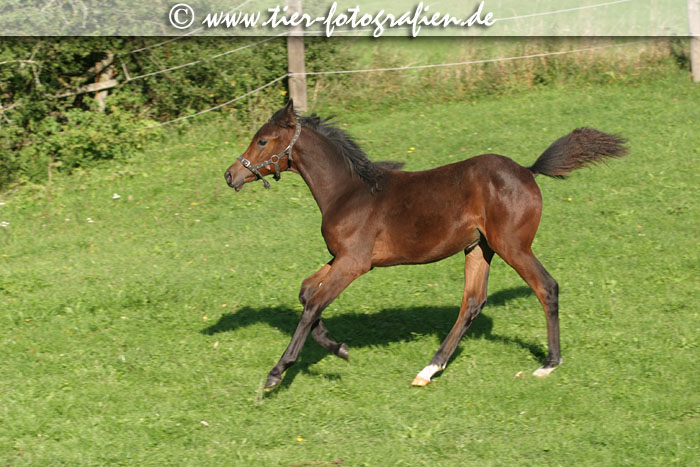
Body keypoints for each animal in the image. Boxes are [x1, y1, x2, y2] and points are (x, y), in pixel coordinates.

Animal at [226, 100, 628, 390]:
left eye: (262, 141)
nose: (231, 174)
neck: (349, 192)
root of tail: (528, 171)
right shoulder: (339, 257)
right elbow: (307, 293)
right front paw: (338, 347)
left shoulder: (354, 263)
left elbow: (312, 306)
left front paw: (278, 372)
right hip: (478, 248)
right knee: (472, 303)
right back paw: (429, 369)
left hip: (513, 246)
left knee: (546, 287)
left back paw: (548, 363)